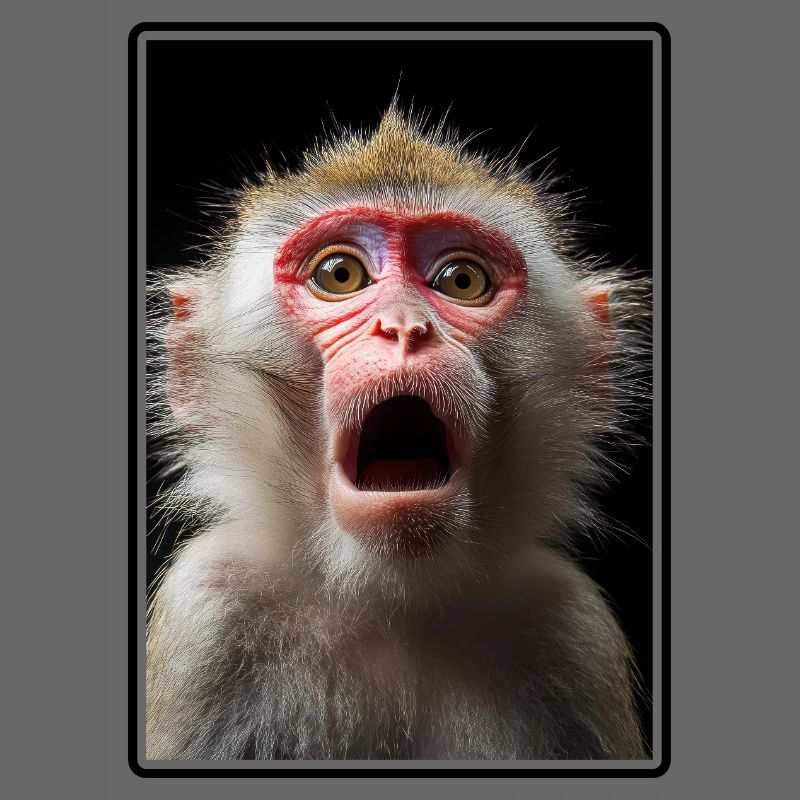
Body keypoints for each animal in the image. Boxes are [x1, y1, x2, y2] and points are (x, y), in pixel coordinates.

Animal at [145, 105, 651, 761]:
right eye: (340, 274)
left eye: (461, 280)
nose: (405, 327)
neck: (393, 602)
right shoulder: (206, 612)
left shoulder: (572, 631)